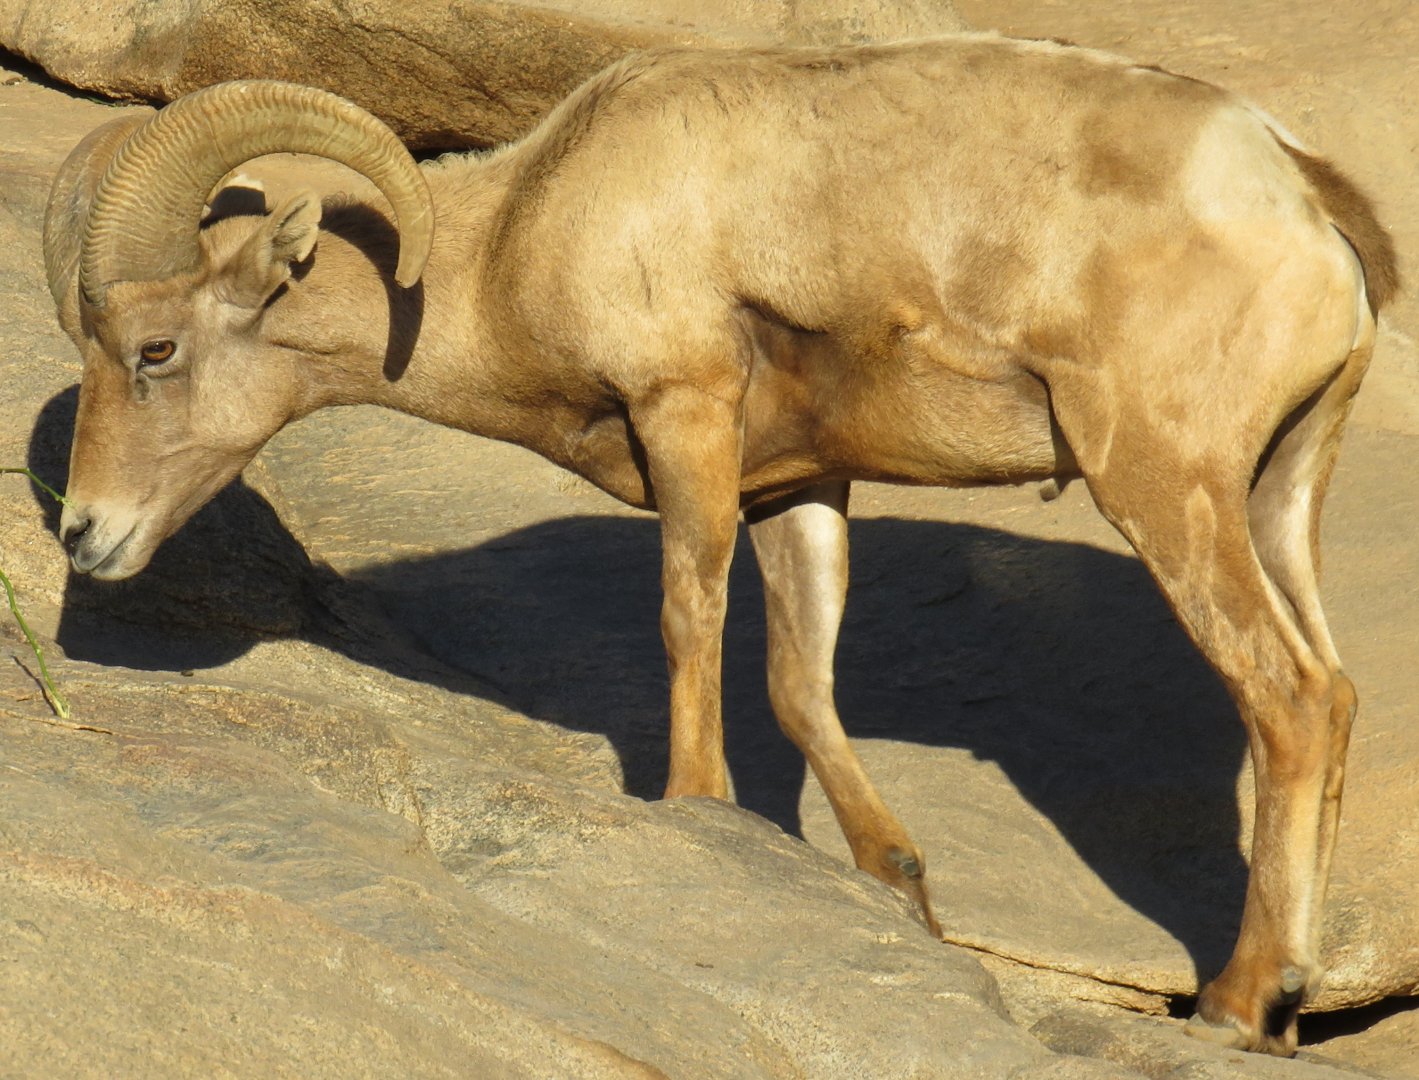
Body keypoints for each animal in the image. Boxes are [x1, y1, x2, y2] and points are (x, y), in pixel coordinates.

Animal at [42, 34, 1396, 1057]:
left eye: (156, 349)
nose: (85, 533)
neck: (520, 236)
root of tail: (1302, 198)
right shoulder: (800, 490)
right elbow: (800, 683)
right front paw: (896, 887)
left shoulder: (684, 416)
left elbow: (690, 623)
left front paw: (694, 809)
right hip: (1277, 499)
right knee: (1334, 695)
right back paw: (1284, 1011)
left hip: (1166, 489)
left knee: (1287, 699)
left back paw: (1239, 1002)